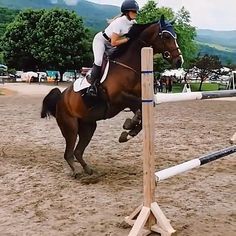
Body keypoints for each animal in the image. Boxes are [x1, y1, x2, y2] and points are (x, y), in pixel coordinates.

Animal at [41, 14, 183, 177]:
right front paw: (129, 124)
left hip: (88, 126)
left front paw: (128, 131)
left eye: (175, 36)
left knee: (78, 152)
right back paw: (77, 172)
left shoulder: (133, 99)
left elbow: (141, 113)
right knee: (69, 153)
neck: (128, 67)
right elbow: (139, 107)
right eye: (166, 36)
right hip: (70, 127)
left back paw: (89, 171)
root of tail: (60, 99)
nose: (179, 61)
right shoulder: (118, 98)